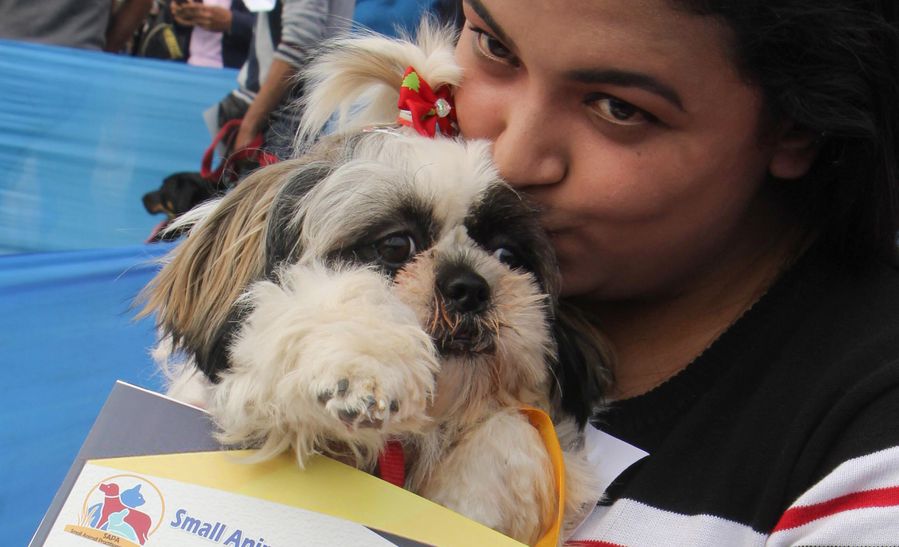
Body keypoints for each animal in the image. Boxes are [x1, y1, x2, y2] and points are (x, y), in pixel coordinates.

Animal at [140, 21, 609, 545]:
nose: (469, 286)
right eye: (395, 245)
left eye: (508, 255)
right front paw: (360, 363)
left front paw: (476, 494)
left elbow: (511, 432)